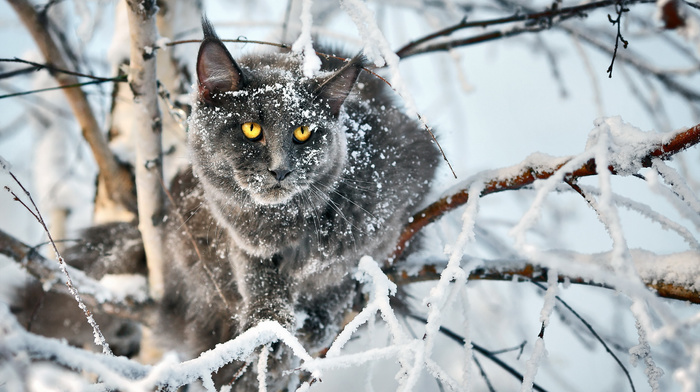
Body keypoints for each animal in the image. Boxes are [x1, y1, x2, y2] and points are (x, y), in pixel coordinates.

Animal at [10, 17, 440, 388]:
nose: (280, 170)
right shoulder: (239, 238)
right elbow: (257, 275)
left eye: (303, 132)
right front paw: (267, 320)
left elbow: (344, 270)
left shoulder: (398, 200)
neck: (282, 223)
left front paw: (318, 314)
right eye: (251, 129)